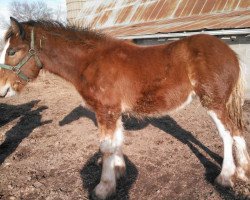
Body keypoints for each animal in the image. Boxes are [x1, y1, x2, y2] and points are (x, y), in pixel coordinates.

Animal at [0, 17, 250, 200]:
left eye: (12, 51)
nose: (3, 89)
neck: (91, 62)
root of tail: (230, 53)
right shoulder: (115, 111)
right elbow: (118, 141)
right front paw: (119, 170)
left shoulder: (106, 110)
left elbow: (106, 147)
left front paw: (104, 187)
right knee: (237, 132)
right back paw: (242, 172)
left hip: (213, 103)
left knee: (227, 134)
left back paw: (226, 177)